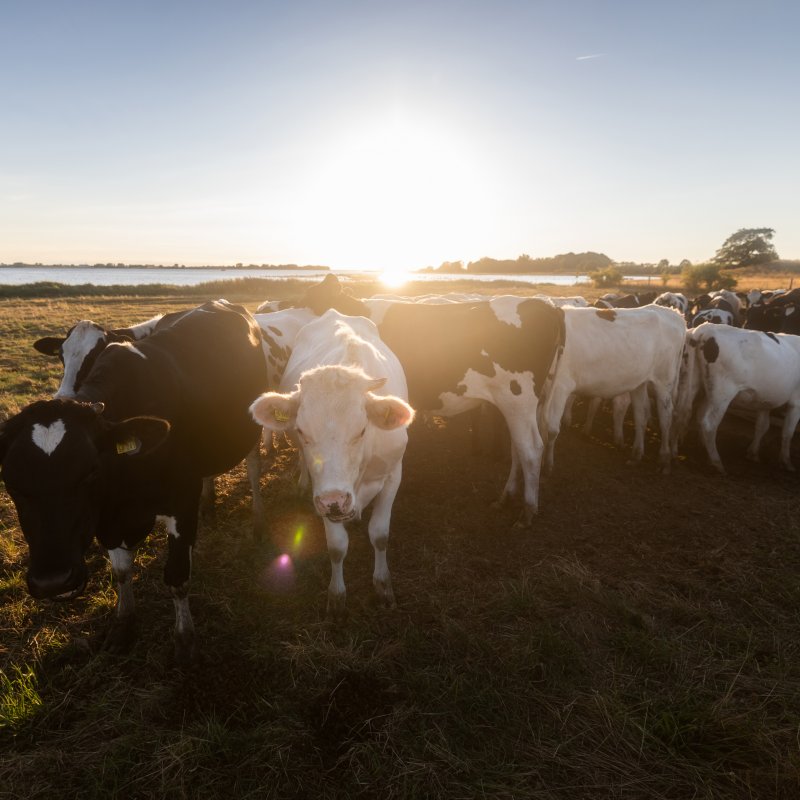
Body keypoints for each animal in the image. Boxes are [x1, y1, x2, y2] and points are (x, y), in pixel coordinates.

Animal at [0, 300, 268, 664]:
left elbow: (177, 577)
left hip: (251, 427)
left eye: (90, 471)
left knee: (253, 468)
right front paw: (123, 625)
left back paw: (257, 520)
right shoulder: (110, 518)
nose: (53, 580)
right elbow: (122, 573)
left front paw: (185, 641)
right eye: (11, 483)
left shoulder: (180, 500)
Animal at [248, 310, 412, 620]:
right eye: (302, 430)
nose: (335, 501)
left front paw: (383, 587)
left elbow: (380, 535)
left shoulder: (393, 474)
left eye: (362, 430)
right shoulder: (321, 490)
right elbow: (336, 547)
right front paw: (336, 597)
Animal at [540, 304, 684, 472]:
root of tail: (672, 312)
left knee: (666, 418)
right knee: (641, 415)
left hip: (663, 382)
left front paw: (547, 465)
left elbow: (550, 428)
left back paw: (664, 460)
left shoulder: (560, 387)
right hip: (639, 383)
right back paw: (636, 456)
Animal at [672, 324, 800, 476]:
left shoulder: (765, 400)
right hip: (722, 392)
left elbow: (762, 426)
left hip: (694, 384)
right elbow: (787, 432)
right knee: (709, 423)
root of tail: (706, 328)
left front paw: (753, 453)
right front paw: (786, 462)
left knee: (686, 414)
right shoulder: (796, 402)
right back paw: (716, 462)